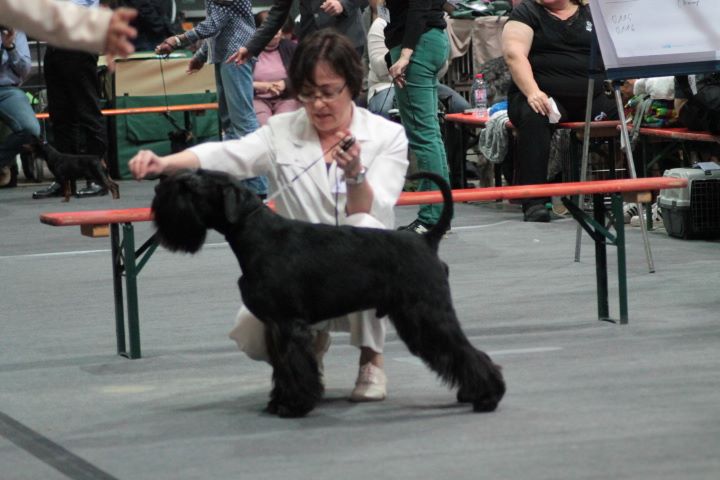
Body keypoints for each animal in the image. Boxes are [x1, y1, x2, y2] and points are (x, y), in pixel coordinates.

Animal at [150, 169, 506, 416]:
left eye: (189, 186)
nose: (158, 186)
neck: (256, 235)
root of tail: (427, 240)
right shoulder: (275, 326)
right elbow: (282, 367)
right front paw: (279, 400)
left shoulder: (287, 324)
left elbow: (292, 365)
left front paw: (292, 405)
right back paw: (474, 393)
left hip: (427, 314)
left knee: (463, 350)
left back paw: (488, 395)